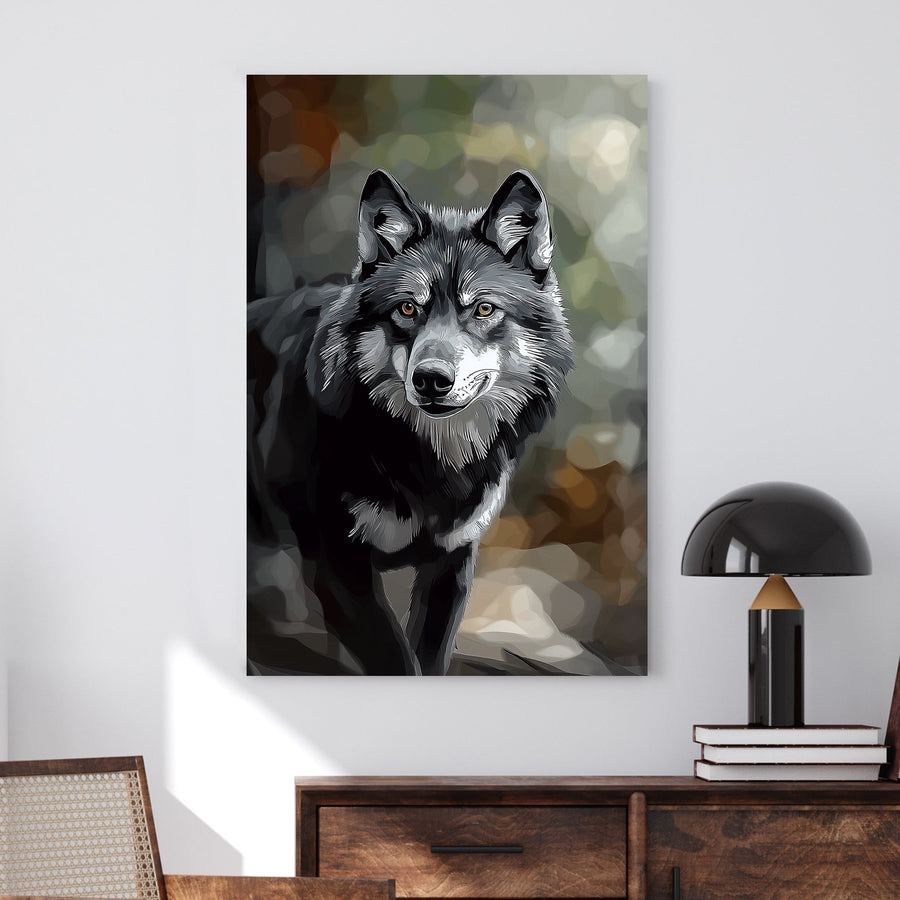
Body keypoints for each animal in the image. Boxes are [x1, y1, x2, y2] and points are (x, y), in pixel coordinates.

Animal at [247, 168, 574, 675]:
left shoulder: (451, 563)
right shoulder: (338, 568)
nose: (431, 379)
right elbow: (398, 662)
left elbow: (429, 659)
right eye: (407, 308)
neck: (429, 465)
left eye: (483, 308)